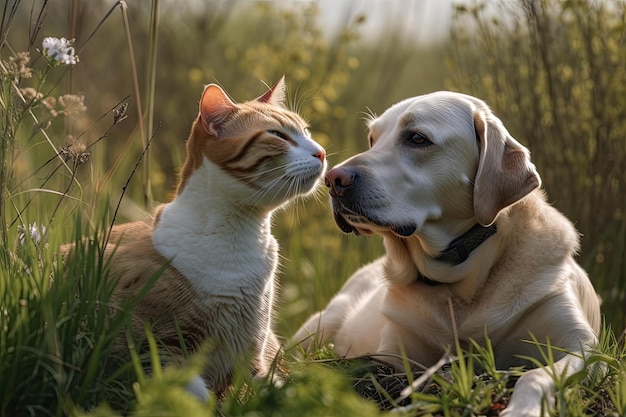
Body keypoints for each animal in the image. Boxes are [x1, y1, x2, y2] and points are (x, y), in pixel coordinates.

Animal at [65, 76, 324, 398]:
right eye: (278, 135)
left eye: (306, 132)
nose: (322, 152)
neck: (240, 237)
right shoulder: (155, 344)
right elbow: (195, 394)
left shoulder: (254, 357)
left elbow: (279, 392)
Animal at [294, 92, 600, 416]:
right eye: (372, 140)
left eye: (417, 138)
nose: (333, 179)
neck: (459, 281)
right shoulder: (393, 354)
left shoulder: (581, 348)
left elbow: (535, 375)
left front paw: (523, 408)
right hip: (323, 321)